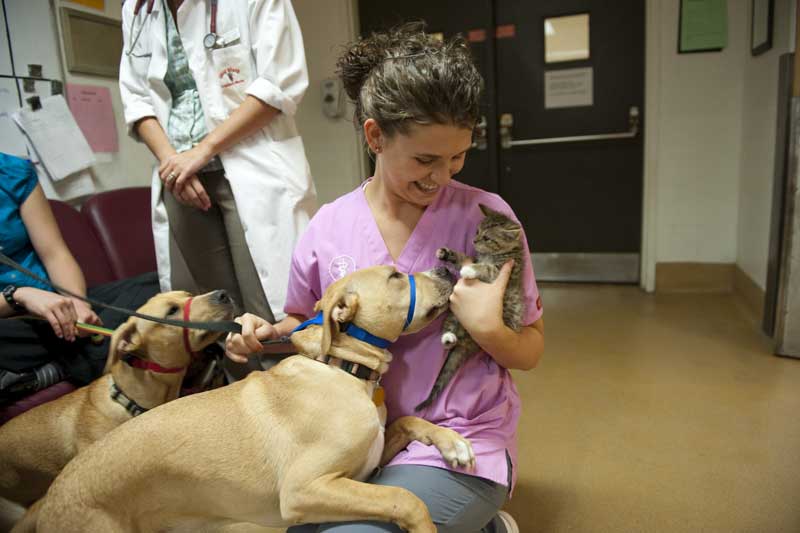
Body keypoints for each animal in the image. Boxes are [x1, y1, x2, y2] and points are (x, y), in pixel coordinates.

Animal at [34, 266, 476, 532]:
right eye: (395, 275)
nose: (444, 267)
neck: (340, 367)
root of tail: (49, 501)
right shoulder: (305, 490)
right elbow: (404, 497)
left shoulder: (365, 467)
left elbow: (406, 422)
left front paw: (453, 444)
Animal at [416, 204, 528, 412]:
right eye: (477, 232)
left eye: (487, 238)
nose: (474, 240)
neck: (493, 254)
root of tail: (467, 340)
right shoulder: (475, 257)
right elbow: (464, 257)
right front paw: (446, 253)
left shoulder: (504, 271)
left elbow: (486, 268)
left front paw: (469, 270)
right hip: (453, 316)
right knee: (449, 337)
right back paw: (448, 337)